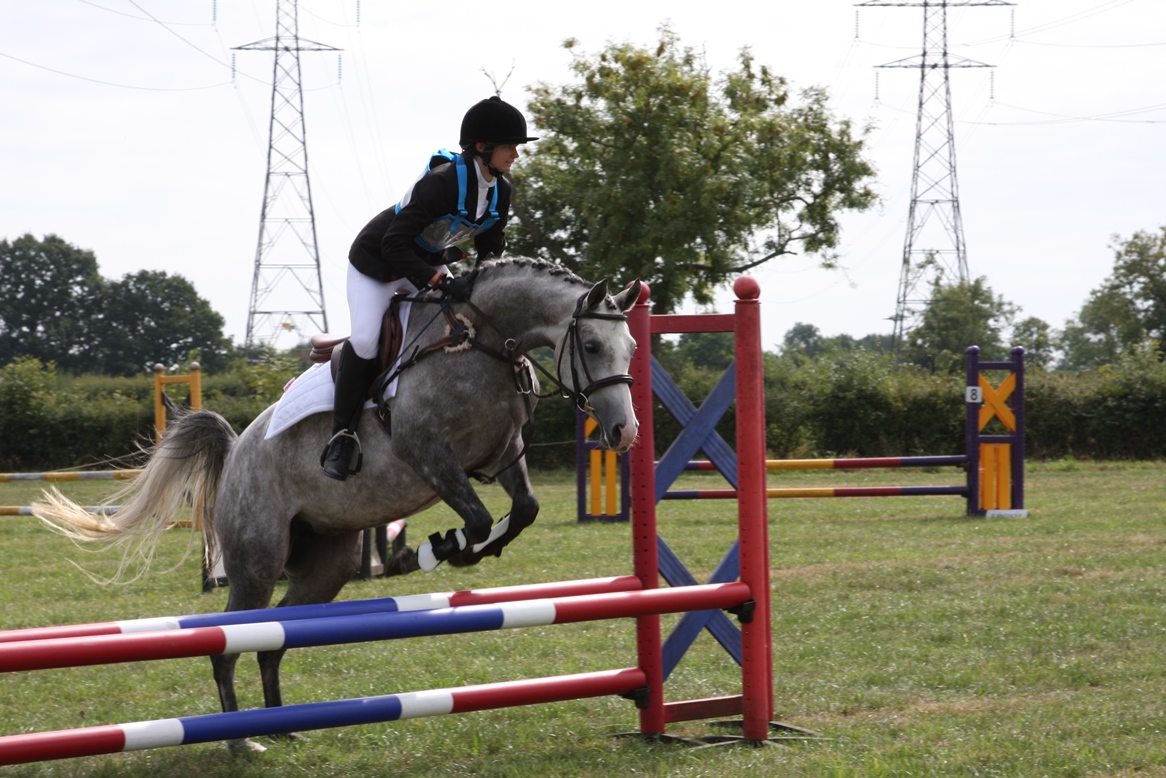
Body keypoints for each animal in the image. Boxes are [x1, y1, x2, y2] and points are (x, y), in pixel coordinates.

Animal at [35, 257, 642, 752]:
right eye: (591, 346)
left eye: (632, 348)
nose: (624, 432)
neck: (482, 341)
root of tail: (236, 453)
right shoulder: (426, 454)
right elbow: (476, 519)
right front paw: (422, 554)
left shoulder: (503, 456)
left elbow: (523, 511)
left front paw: (461, 553)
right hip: (256, 564)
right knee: (229, 641)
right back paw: (239, 741)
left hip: (328, 566)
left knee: (273, 640)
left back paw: (282, 728)